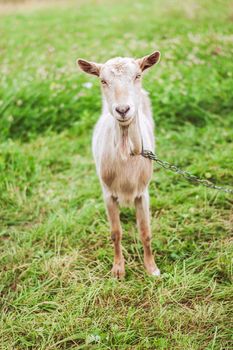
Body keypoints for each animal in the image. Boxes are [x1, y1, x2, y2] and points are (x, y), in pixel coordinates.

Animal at [77, 50, 161, 278]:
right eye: (103, 80)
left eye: (137, 76)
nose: (123, 109)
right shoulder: (108, 193)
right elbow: (116, 233)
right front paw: (118, 270)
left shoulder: (143, 193)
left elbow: (146, 231)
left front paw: (152, 268)